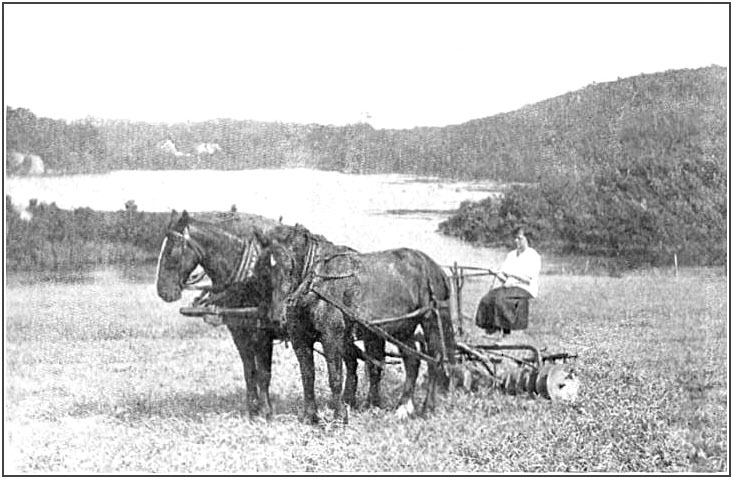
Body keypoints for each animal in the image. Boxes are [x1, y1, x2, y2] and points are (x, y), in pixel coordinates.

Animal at [254, 224, 454, 424]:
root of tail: (435, 268)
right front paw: (310, 416)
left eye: (289, 266)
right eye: (261, 269)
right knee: (412, 360)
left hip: (432, 321)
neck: (314, 282)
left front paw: (339, 416)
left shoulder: (331, 337)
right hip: (401, 330)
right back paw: (403, 407)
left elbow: (335, 377)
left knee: (435, 359)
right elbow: (308, 376)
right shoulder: (300, 339)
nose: (275, 319)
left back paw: (427, 407)